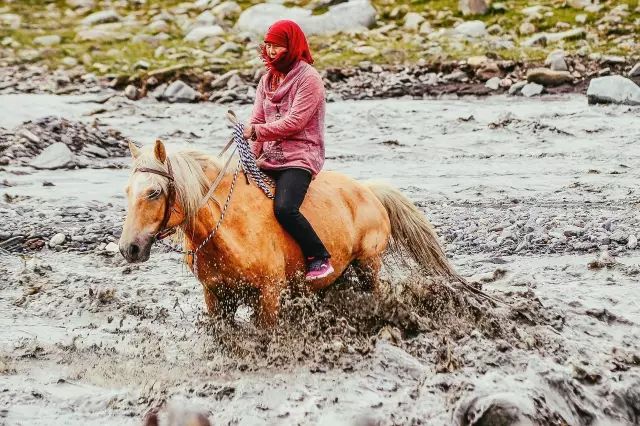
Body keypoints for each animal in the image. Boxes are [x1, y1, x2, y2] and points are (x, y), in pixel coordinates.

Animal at [119, 140, 460, 326]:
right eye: (127, 190)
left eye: (153, 192)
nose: (128, 249)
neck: (229, 230)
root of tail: (368, 191)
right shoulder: (216, 297)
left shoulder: (269, 293)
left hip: (368, 265)